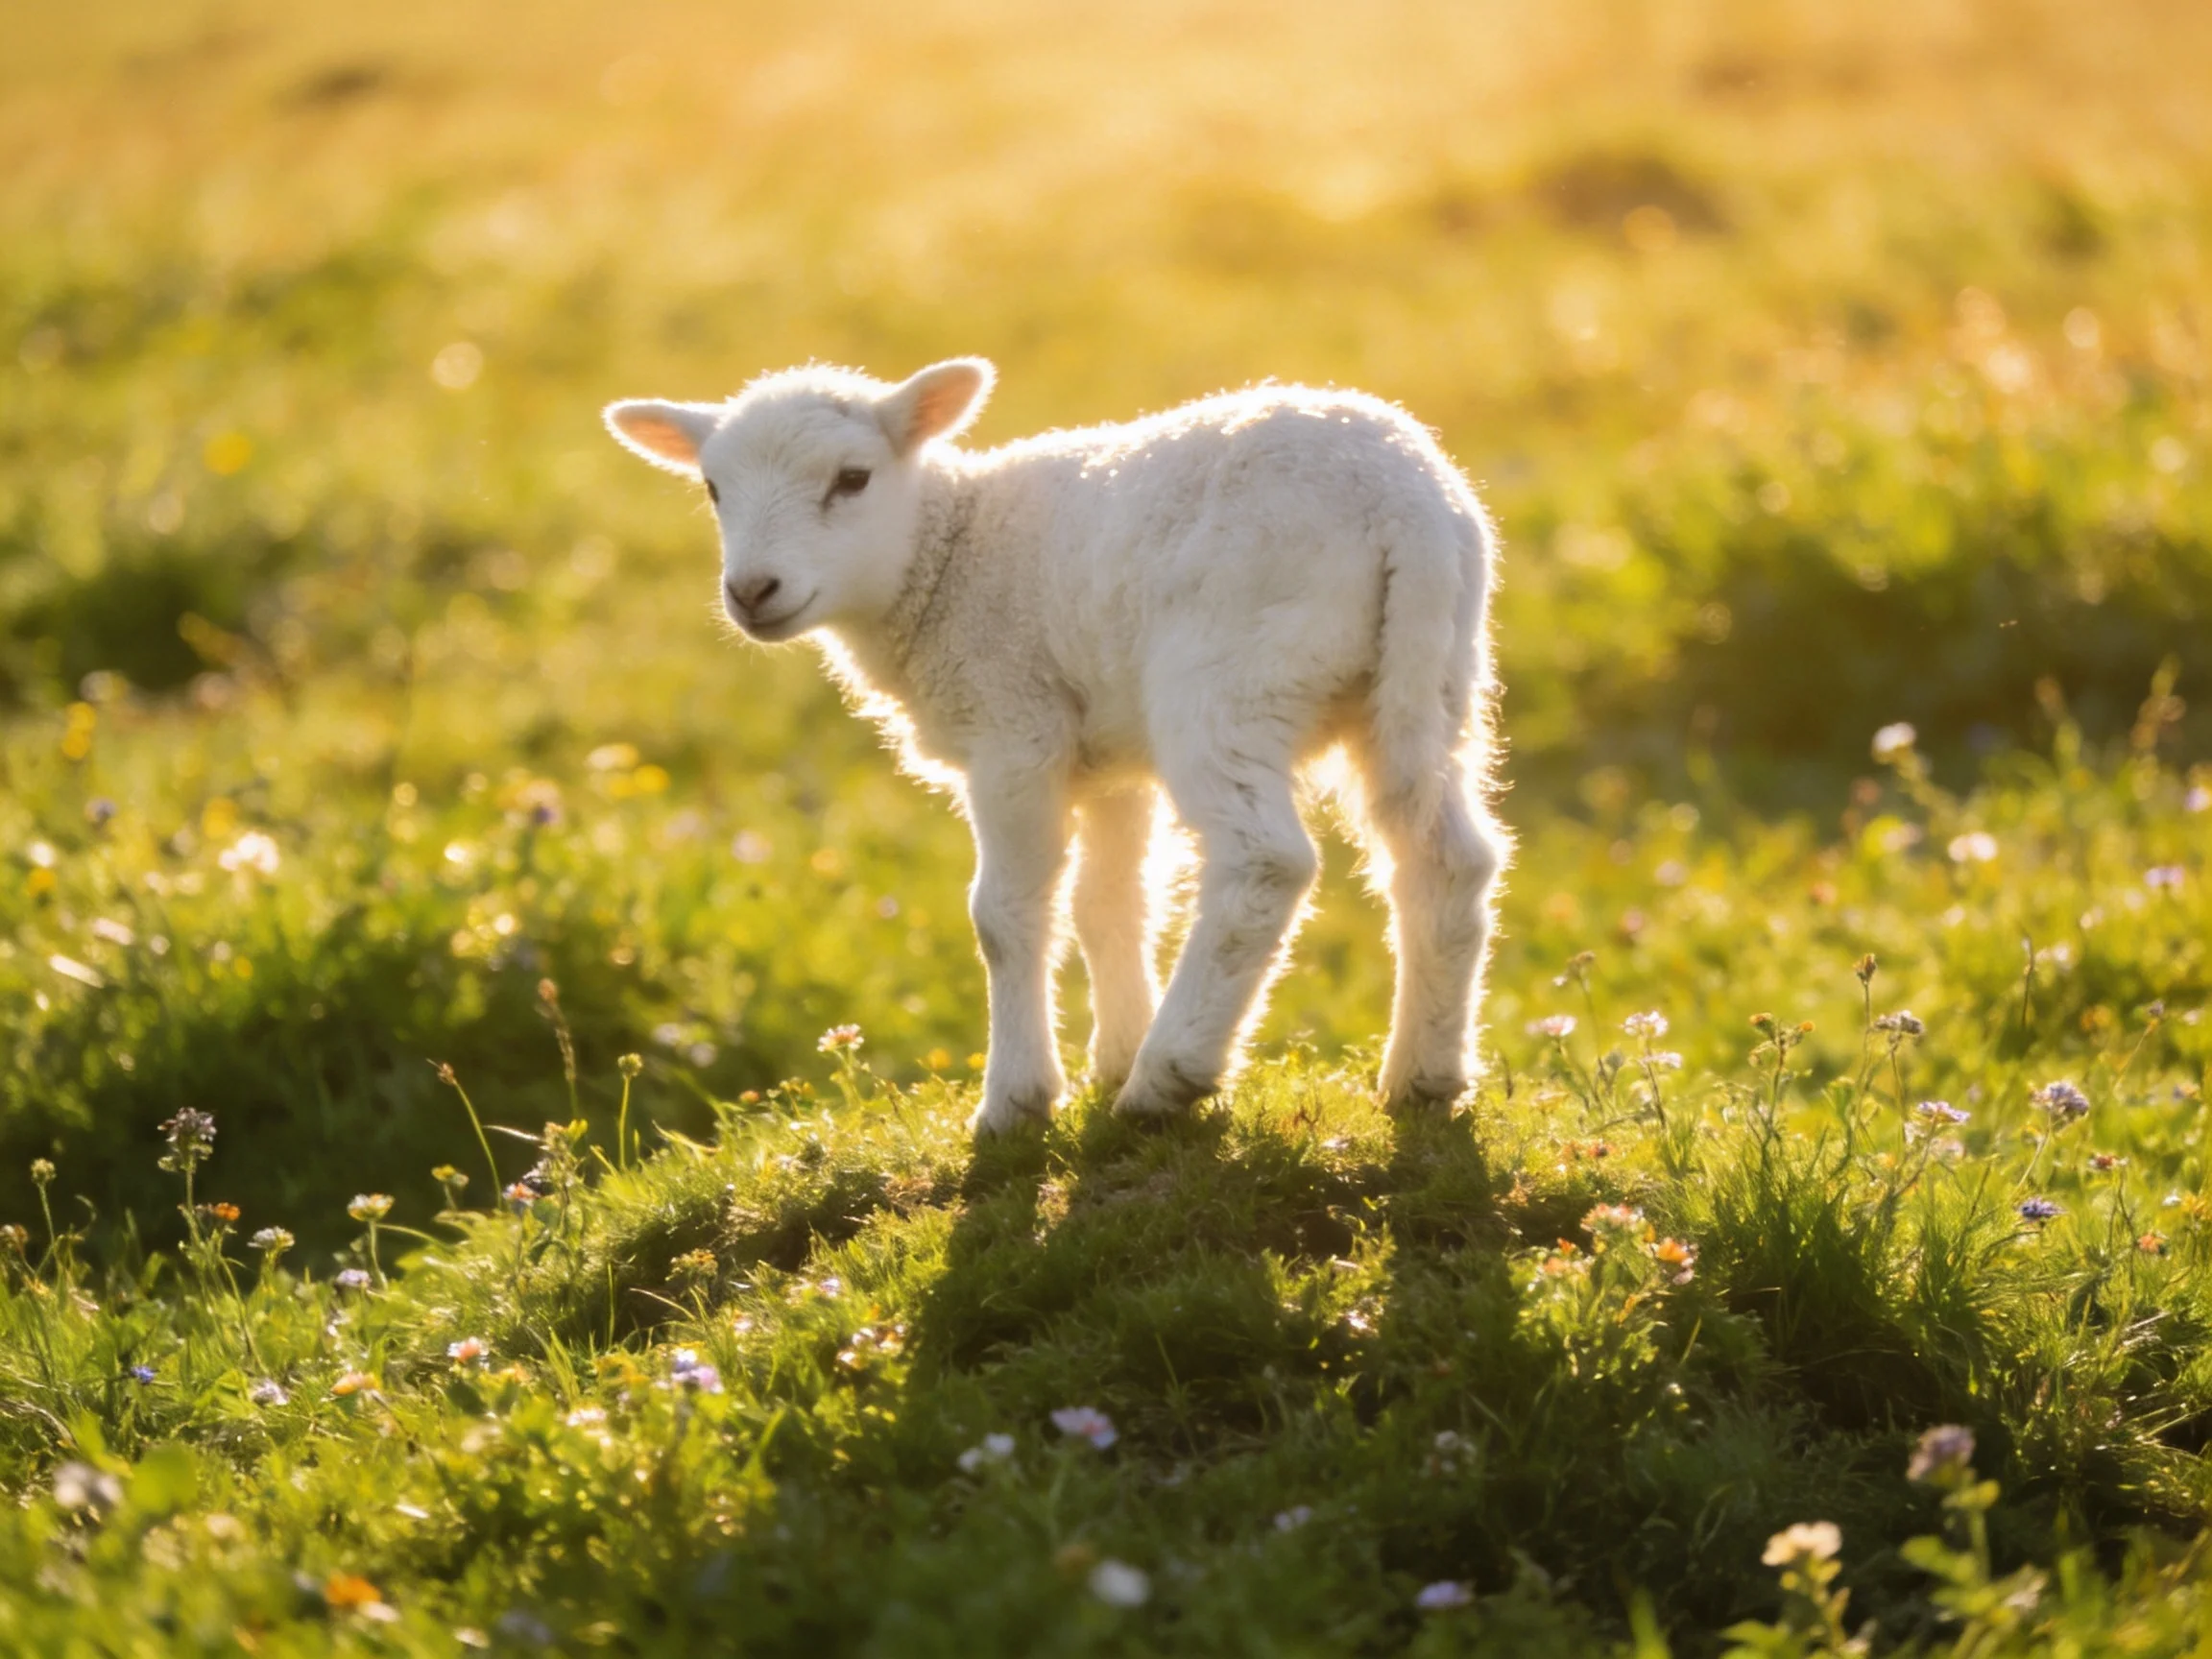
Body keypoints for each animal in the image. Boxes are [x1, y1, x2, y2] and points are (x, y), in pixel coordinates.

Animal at [604, 359, 1509, 1133]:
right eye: (713, 489)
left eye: (852, 479)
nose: (752, 591)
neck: (949, 556)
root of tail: (1402, 502)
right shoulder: (1108, 759)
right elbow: (1110, 903)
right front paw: (1111, 1054)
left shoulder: (1016, 728)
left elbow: (1005, 916)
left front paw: (1019, 1100)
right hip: (1426, 679)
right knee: (1447, 856)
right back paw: (1423, 1076)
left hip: (1230, 678)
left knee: (1265, 864)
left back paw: (1171, 1075)